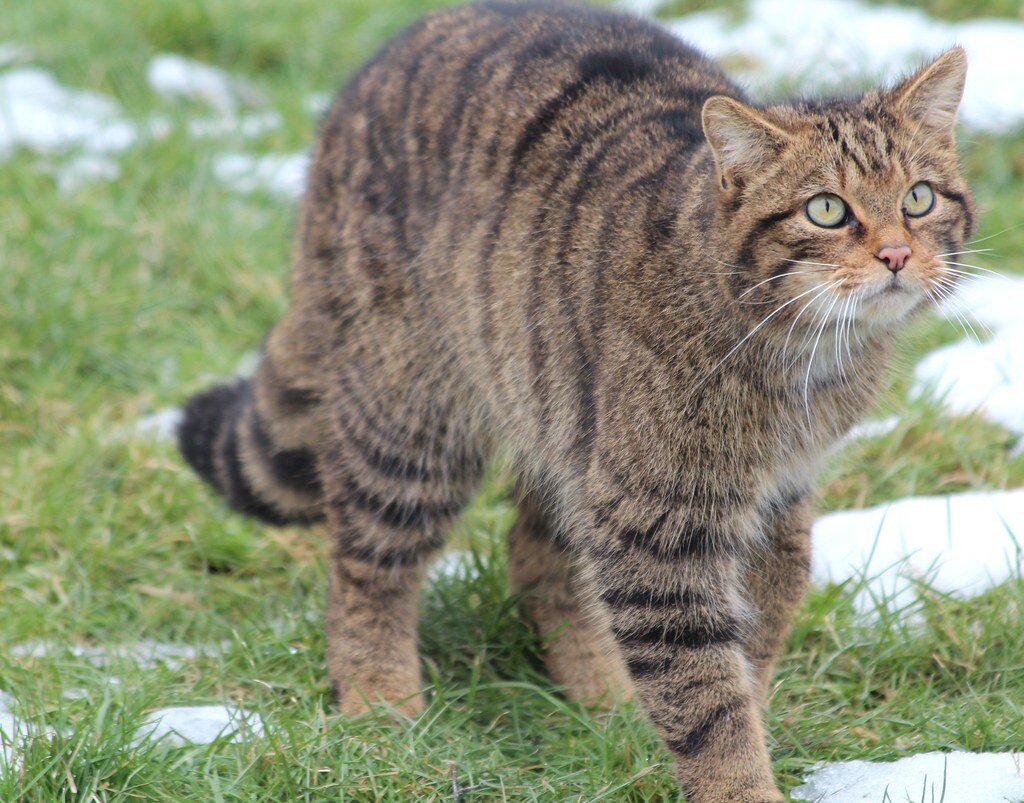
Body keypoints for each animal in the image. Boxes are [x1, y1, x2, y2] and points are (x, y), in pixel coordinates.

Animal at [178, 4, 974, 794]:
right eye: (827, 209)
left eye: (919, 198)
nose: (897, 255)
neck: (803, 355)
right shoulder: (657, 522)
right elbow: (707, 695)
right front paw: (740, 781)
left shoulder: (775, 496)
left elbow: (757, 638)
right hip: (416, 419)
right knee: (364, 570)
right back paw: (381, 710)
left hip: (564, 420)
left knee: (535, 552)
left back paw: (604, 700)